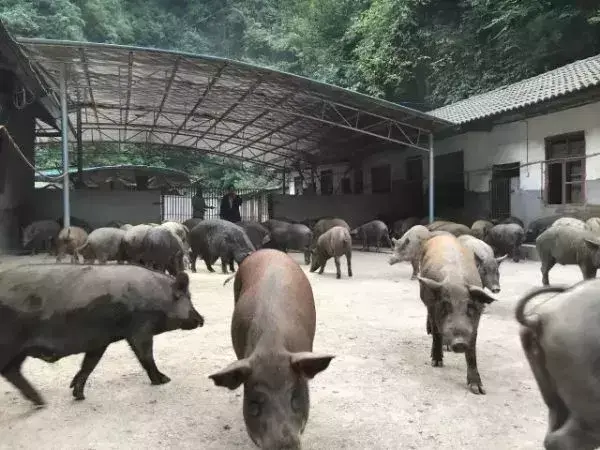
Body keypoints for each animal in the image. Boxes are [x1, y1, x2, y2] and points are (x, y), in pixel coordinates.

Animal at [0, 264, 204, 408]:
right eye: (188, 297)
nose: (201, 319)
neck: (158, 298)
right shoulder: (140, 329)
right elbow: (146, 357)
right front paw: (164, 380)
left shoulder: (99, 341)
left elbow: (89, 364)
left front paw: (78, 395)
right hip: (9, 343)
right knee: (9, 371)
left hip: (18, 351)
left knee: (12, 372)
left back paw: (41, 403)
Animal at [418, 234, 496, 396]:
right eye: (445, 305)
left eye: (470, 306)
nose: (459, 343)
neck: (456, 280)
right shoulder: (434, 308)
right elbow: (437, 334)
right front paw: (436, 363)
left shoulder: (475, 322)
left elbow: (472, 349)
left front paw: (478, 390)